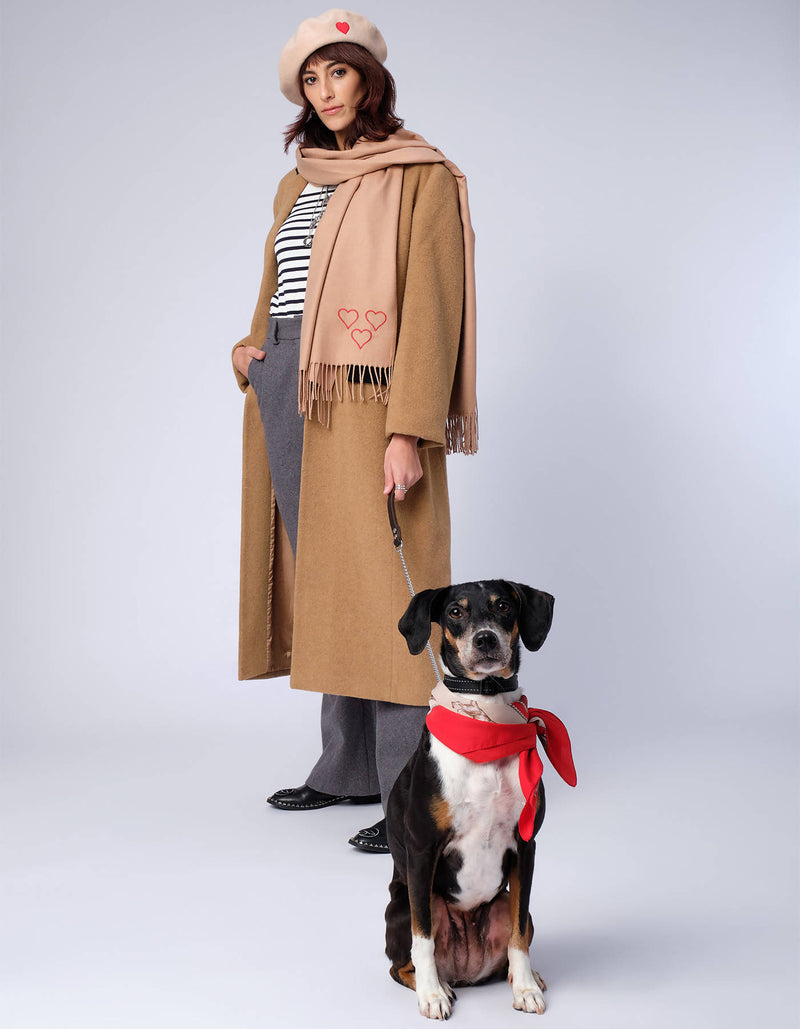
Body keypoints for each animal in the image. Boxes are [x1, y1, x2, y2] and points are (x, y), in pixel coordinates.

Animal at [383, 580, 572, 1020]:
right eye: (455, 611)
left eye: (503, 606)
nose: (485, 639)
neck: (486, 720)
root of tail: (466, 971)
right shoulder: (422, 849)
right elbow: (423, 939)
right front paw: (432, 996)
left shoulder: (525, 845)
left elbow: (519, 935)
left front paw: (525, 990)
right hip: (403, 905)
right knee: (402, 963)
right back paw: (439, 987)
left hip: (502, 903)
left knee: (514, 936)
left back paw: (524, 977)